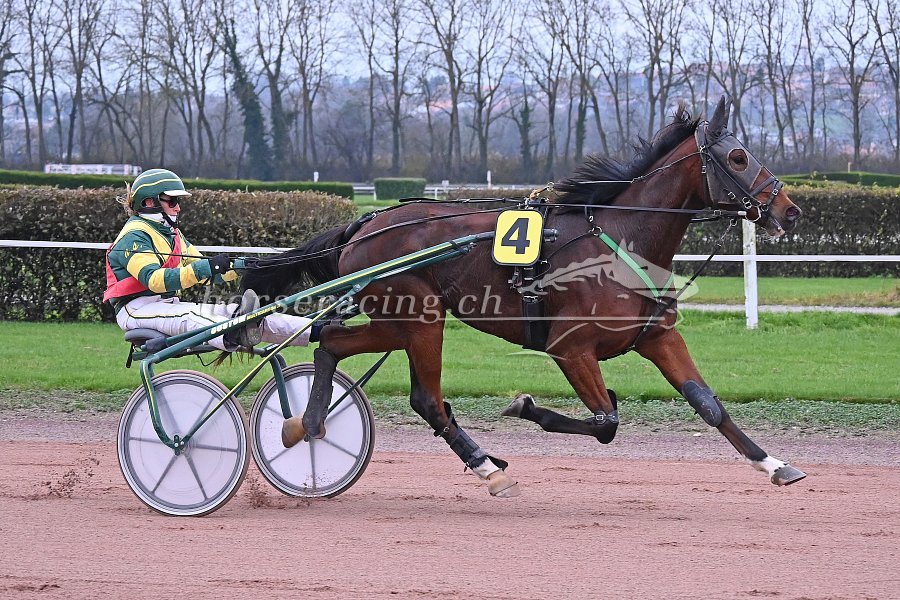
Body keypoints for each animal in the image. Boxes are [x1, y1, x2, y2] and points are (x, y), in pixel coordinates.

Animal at [241, 97, 806, 497]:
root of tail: (362, 225)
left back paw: (308, 424)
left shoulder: (657, 336)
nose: (791, 210)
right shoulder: (570, 348)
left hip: (402, 321)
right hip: (419, 318)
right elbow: (606, 422)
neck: (622, 239)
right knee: (422, 395)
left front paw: (776, 465)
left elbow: (707, 404)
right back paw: (484, 466)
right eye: (738, 156)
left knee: (333, 341)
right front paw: (526, 406)